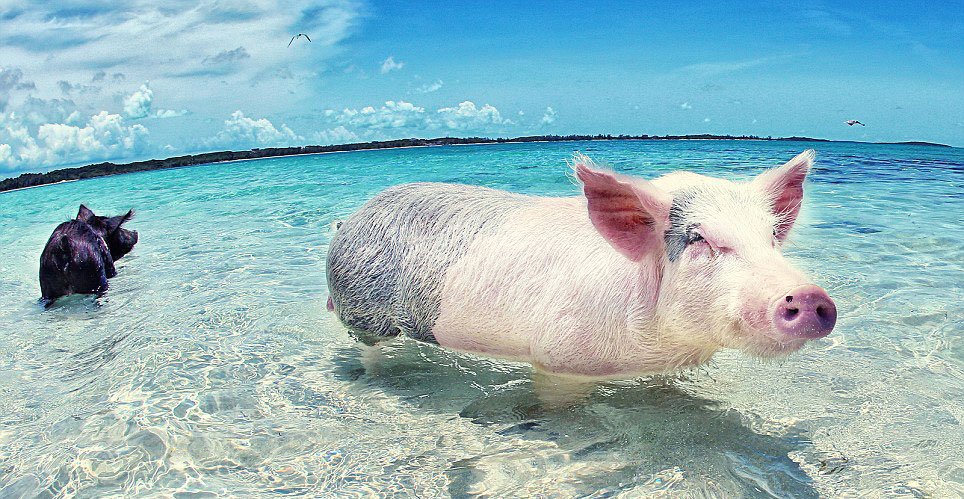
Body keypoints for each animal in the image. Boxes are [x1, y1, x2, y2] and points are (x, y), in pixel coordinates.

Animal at [326, 150, 836, 378]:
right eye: (700, 240)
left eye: (770, 239)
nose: (812, 296)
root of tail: (349, 221)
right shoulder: (559, 357)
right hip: (362, 309)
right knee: (369, 349)